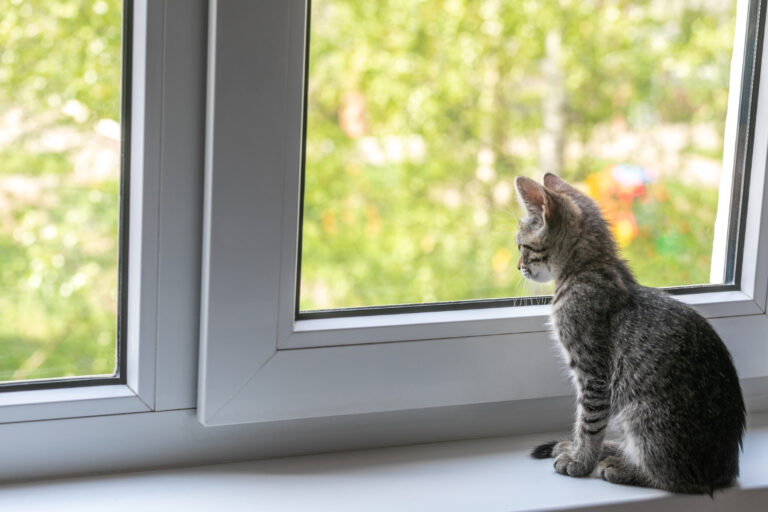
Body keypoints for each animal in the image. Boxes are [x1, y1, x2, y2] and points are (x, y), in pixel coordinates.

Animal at [516, 174, 744, 494]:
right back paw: (612, 450)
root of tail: (726, 470)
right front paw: (578, 451)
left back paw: (622, 466)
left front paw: (581, 461)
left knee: (676, 479)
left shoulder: (594, 375)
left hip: (641, 415)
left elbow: (589, 423)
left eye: (521, 246)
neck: (590, 269)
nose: (519, 267)